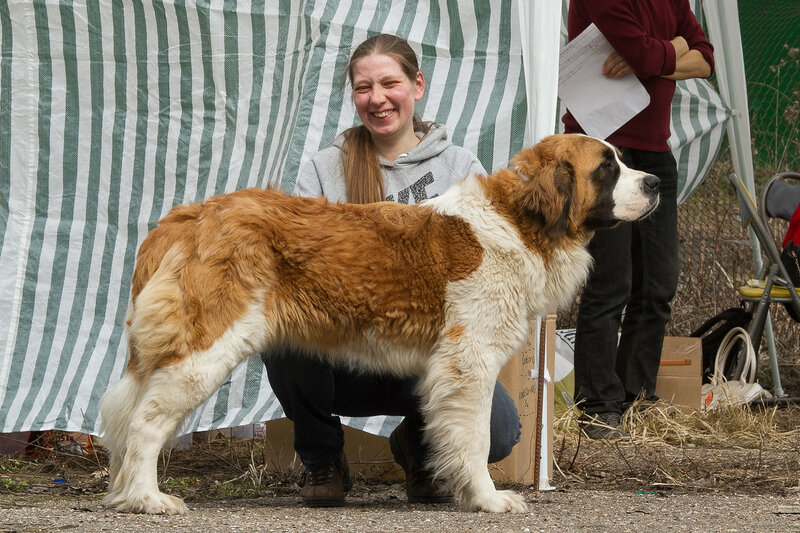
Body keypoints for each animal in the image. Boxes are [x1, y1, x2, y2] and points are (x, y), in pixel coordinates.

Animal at [100, 134, 660, 516]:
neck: (519, 221)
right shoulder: (470, 363)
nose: (655, 182)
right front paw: (487, 499)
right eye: (606, 167)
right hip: (206, 349)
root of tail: (193, 213)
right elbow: (476, 437)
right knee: (146, 423)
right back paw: (148, 498)